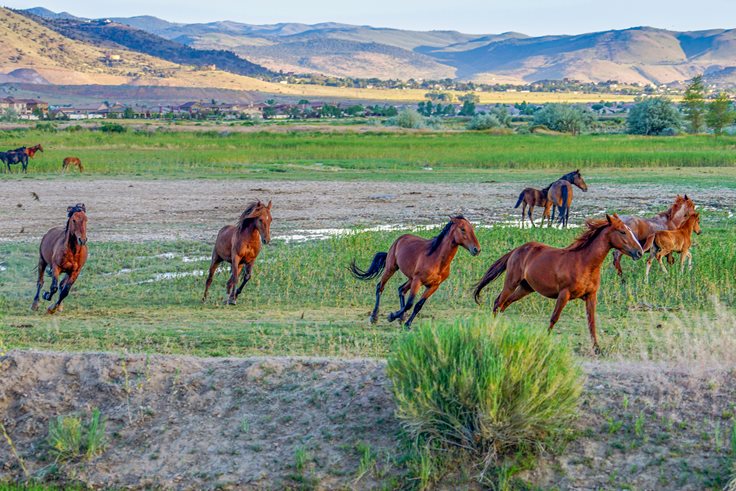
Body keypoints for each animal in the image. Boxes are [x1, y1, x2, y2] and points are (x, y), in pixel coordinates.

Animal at [350, 216, 481, 328]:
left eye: (472, 229)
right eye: (463, 229)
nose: (477, 249)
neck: (437, 259)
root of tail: (399, 239)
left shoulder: (433, 286)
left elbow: (418, 305)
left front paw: (407, 324)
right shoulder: (418, 281)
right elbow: (410, 303)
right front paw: (391, 316)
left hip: (410, 278)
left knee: (401, 290)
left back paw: (401, 318)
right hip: (391, 268)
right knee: (380, 287)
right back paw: (374, 317)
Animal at [473, 214, 643, 353]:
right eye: (622, 231)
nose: (639, 252)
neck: (584, 263)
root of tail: (517, 250)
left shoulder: (591, 296)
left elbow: (591, 322)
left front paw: (597, 349)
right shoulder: (564, 294)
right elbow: (554, 318)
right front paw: (545, 341)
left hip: (525, 288)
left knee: (504, 304)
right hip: (511, 283)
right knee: (498, 303)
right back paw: (492, 330)